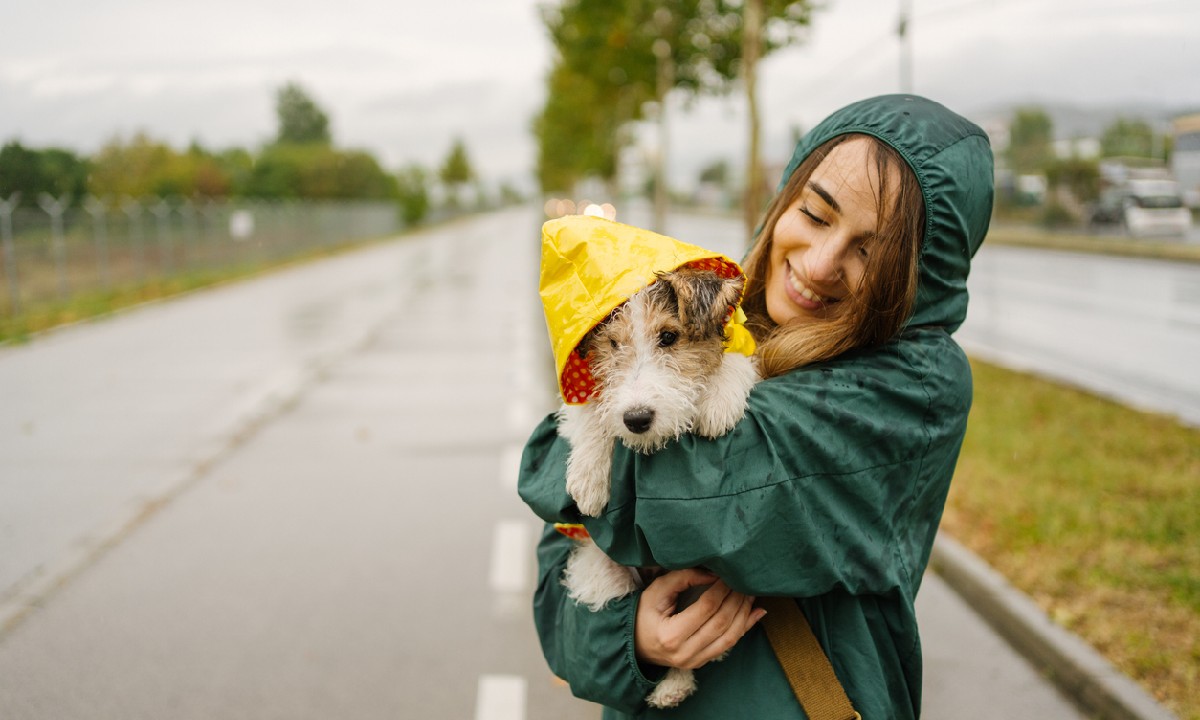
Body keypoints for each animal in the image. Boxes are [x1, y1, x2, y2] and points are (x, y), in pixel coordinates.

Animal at [554, 265, 758, 710]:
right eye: (613, 344)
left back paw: (672, 687)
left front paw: (719, 400)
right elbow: (592, 411)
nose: (636, 419)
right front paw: (588, 478)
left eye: (668, 336)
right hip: (603, 571)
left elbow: (737, 360)